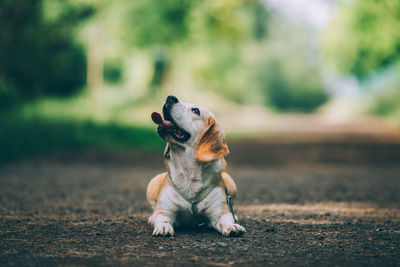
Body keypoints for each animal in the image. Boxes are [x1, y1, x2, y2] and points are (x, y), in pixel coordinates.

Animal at [147, 95, 247, 238]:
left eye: (195, 110)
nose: (170, 97)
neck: (188, 169)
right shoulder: (164, 210)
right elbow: (162, 218)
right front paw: (163, 226)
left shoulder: (219, 213)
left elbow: (226, 218)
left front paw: (233, 226)